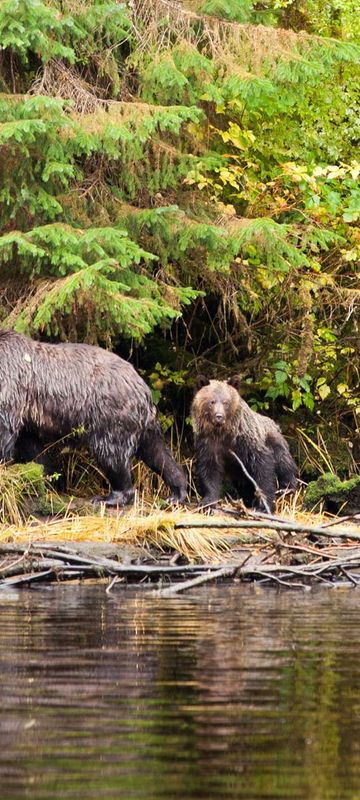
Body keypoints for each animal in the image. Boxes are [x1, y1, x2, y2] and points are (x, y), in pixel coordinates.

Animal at [0, 330, 186, 506]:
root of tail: (142, 387)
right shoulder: (26, 417)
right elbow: (33, 449)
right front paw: (45, 477)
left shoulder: (11, 386)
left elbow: (5, 434)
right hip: (142, 423)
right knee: (157, 452)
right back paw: (177, 493)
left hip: (110, 413)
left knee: (112, 454)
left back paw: (110, 497)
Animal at [191, 376, 298, 512]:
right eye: (212, 401)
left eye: (226, 402)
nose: (219, 416)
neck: (223, 433)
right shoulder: (208, 443)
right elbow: (209, 471)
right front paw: (208, 502)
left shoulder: (248, 442)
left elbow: (263, 470)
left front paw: (264, 505)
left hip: (274, 440)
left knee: (284, 463)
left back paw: (287, 489)